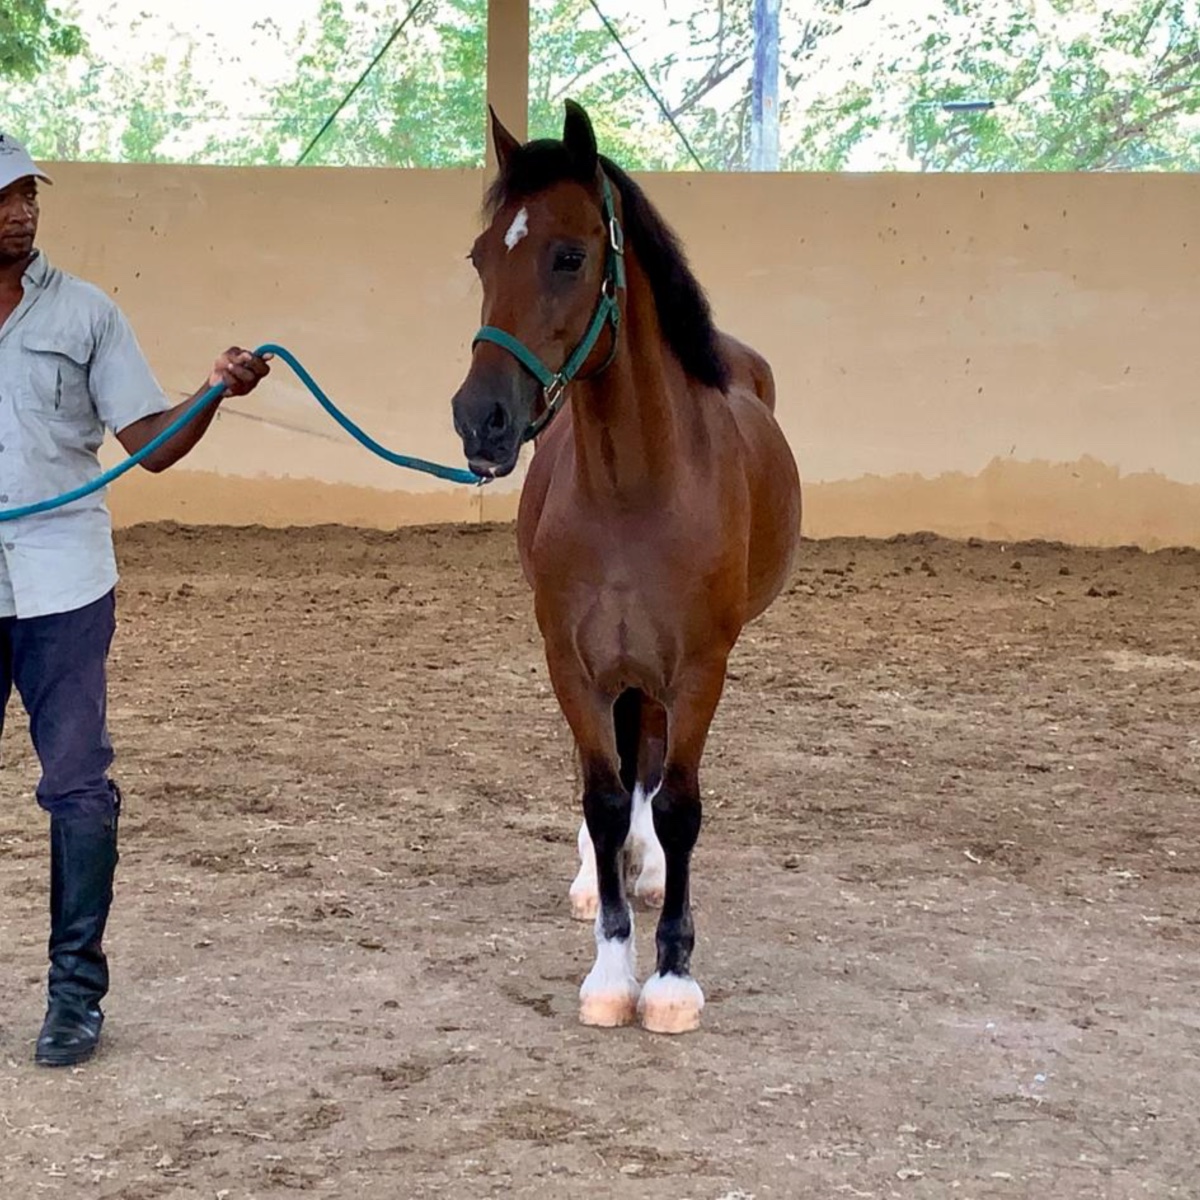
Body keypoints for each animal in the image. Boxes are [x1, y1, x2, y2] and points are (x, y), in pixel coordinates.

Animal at [451, 101, 801, 1034]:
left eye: (570, 255)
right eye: (481, 255)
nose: (479, 418)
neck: (635, 487)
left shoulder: (700, 668)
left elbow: (676, 806)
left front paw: (672, 978)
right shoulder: (573, 662)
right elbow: (602, 797)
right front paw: (611, 972)